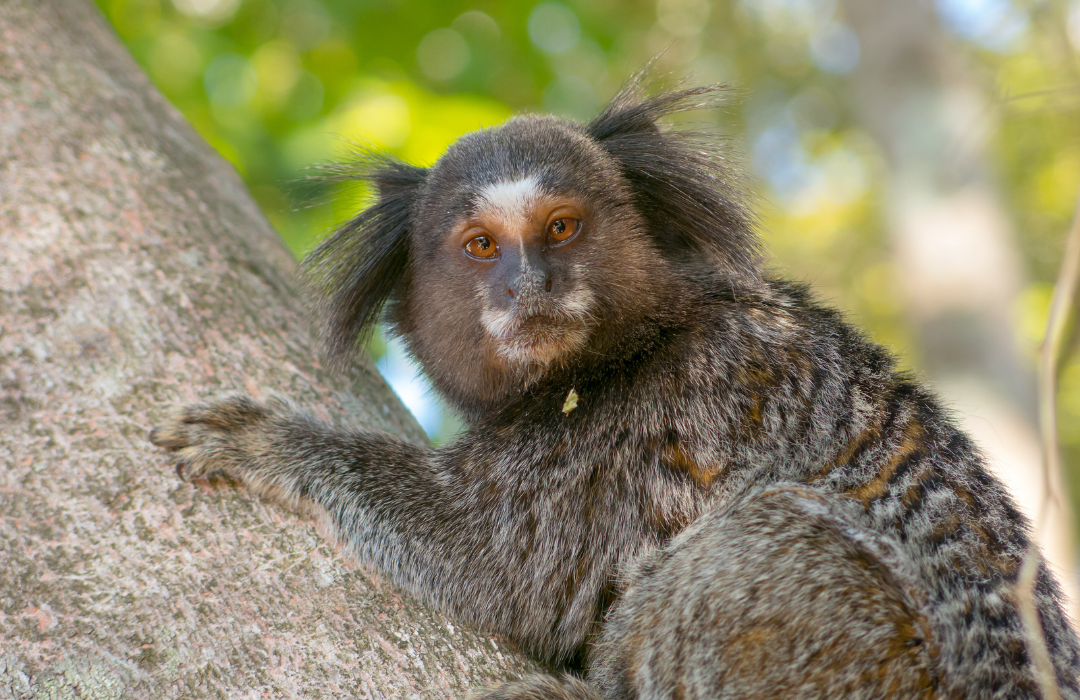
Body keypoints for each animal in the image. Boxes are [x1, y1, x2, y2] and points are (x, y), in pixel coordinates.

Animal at [150, 79, 1080, 695]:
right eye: (482, 245)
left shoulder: (651, 417)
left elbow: (494, 565)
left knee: (762, 534)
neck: (628, 348)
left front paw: (273, 443)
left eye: (561, 228)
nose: (529, 286)